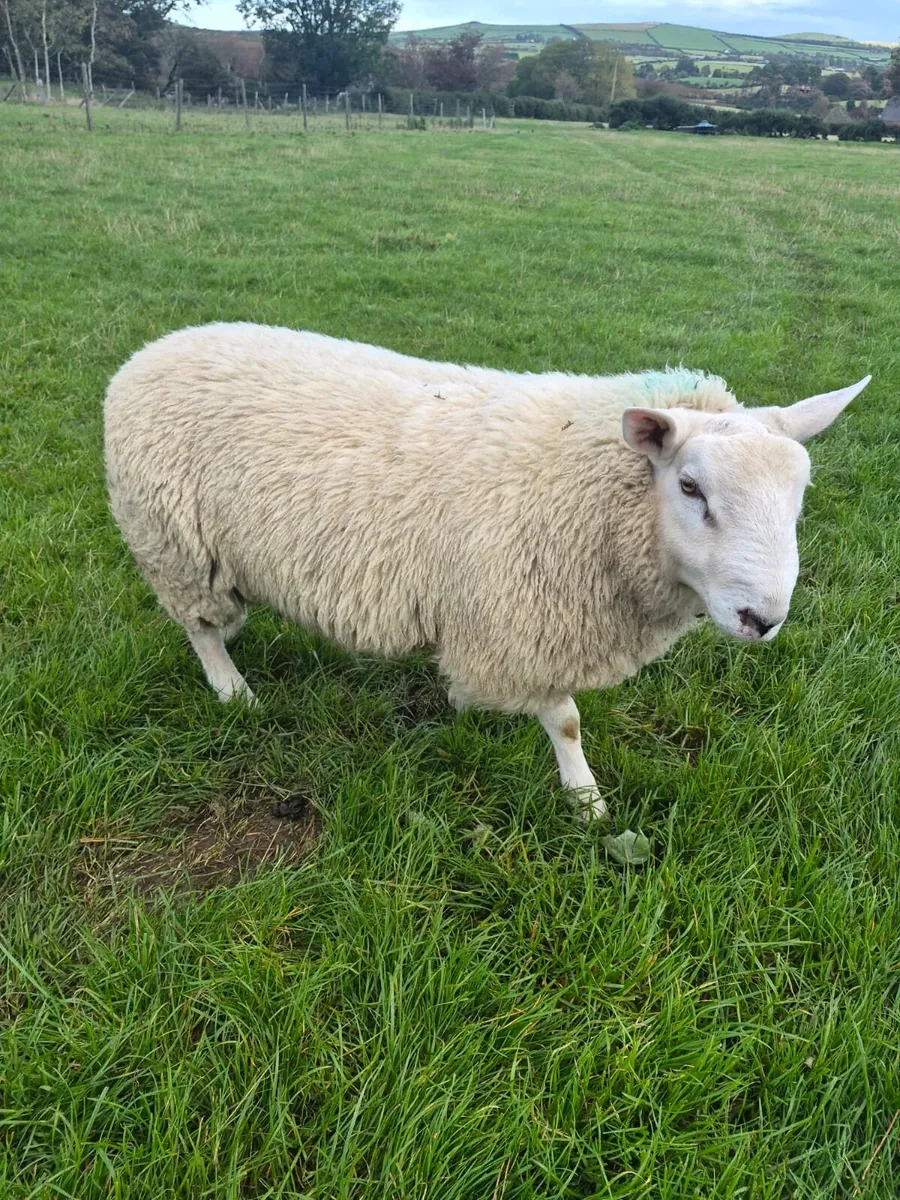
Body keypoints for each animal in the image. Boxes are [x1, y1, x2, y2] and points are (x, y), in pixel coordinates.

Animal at [104, 323, 870, 819]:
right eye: (690, 487)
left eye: (800, 494)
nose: (761, 619)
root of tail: (150, 350)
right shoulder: (518, 621)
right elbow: (566, 720)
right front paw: (585, 799)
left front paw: (470, 708)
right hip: (176, 543)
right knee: (202, 628)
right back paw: (232, 689)